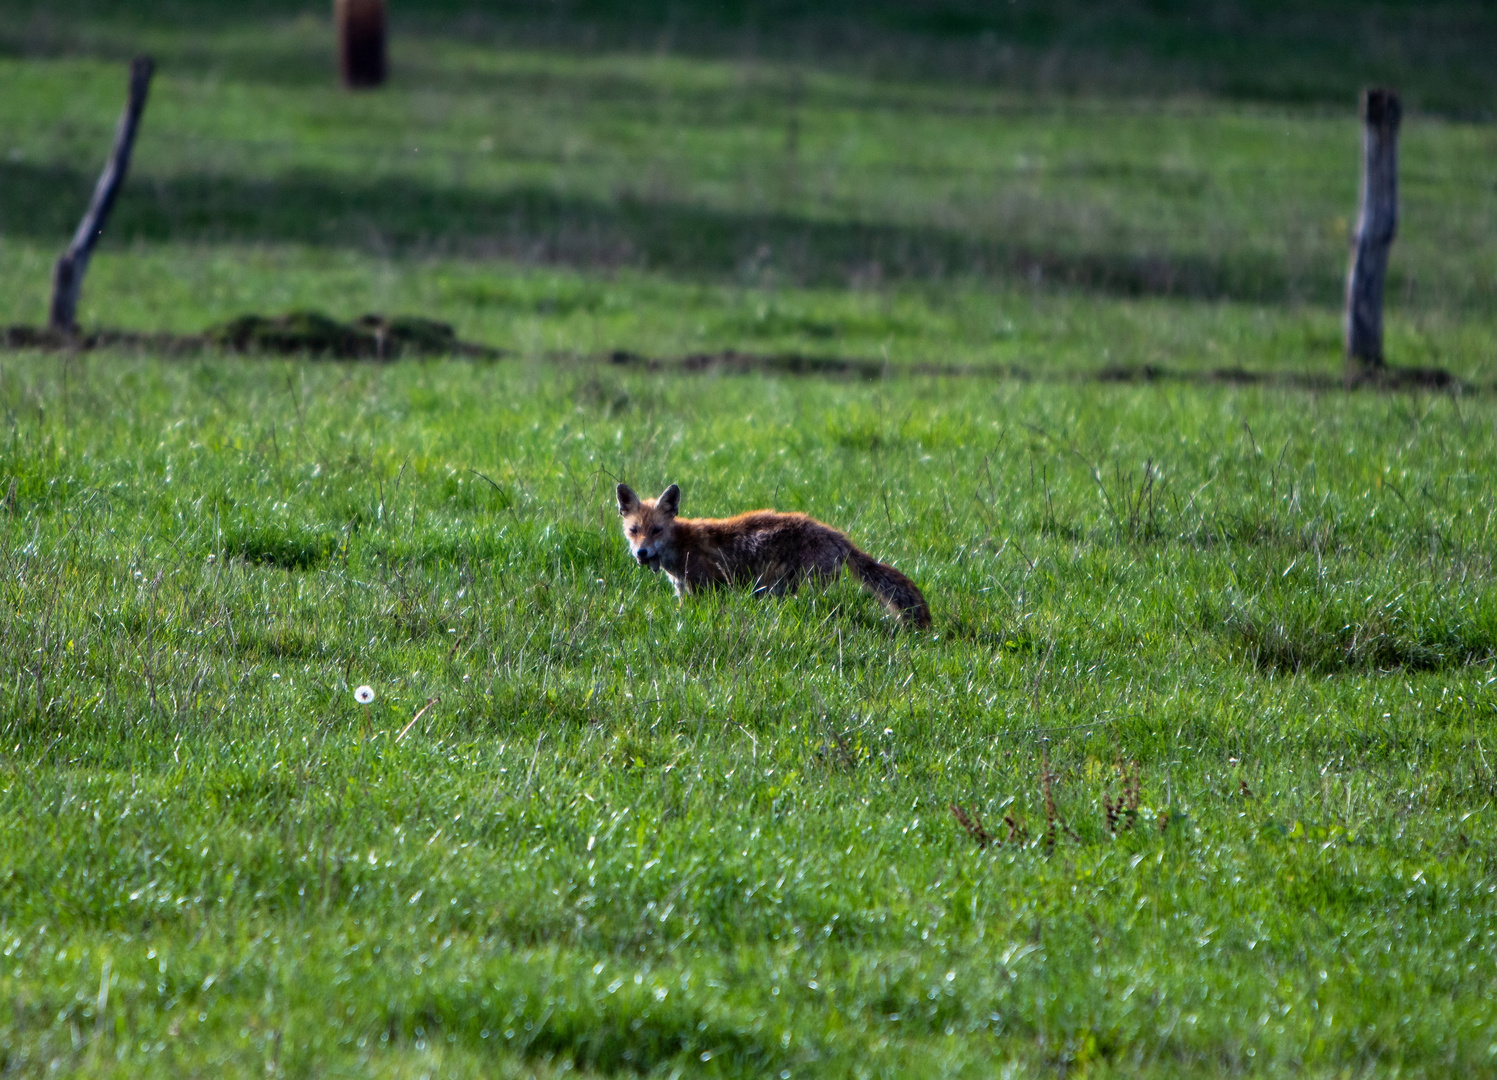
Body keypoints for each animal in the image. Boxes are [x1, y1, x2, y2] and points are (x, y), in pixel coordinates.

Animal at [616, 485, 922, 629]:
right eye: (634, 531)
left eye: (657, 530)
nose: (642, 552)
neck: (681, 545)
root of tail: (836, 534)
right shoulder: (685, 593)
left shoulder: (706, 590)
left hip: (807, 588)